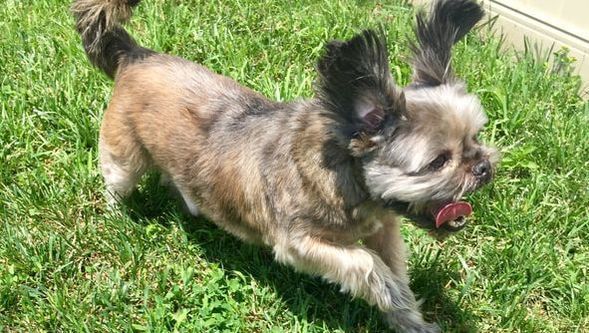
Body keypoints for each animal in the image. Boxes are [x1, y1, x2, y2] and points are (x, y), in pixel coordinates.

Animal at [73, 0, 496, 330]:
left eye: (476, 137)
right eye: (438, 162)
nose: (483, 167)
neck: (344, 183)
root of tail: (136, 55)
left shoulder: (385, 229)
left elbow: (394, 269)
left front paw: (409, 319)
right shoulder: (299, 243)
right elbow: (367, 264)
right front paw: (387, 294)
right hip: (124, 156)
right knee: (117, 182)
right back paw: (118, 215)